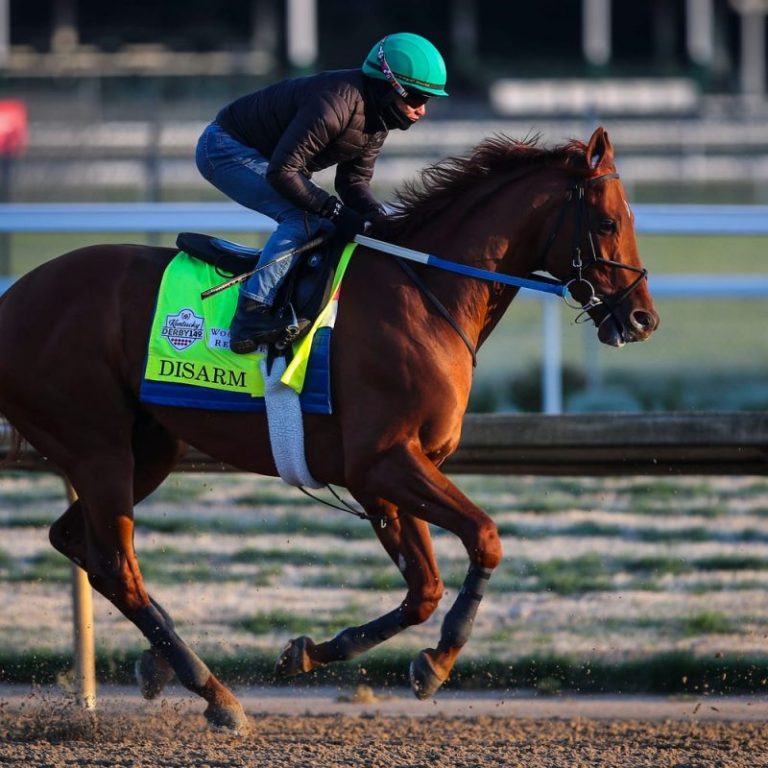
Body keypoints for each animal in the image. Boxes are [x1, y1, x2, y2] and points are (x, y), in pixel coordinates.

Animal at [0, 127, 658, 731]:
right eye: (606, 222)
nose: (642, 318)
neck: (427, 297)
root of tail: (16, 298)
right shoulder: (383, 461)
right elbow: (486, 536)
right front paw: (439, 660)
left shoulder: (384, 475)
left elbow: (423, 588)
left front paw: (313, 653)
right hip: (98, 447)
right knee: (117, 566)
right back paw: (215, 694)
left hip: (150, 446)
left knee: (78, 542)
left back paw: (160, 661)